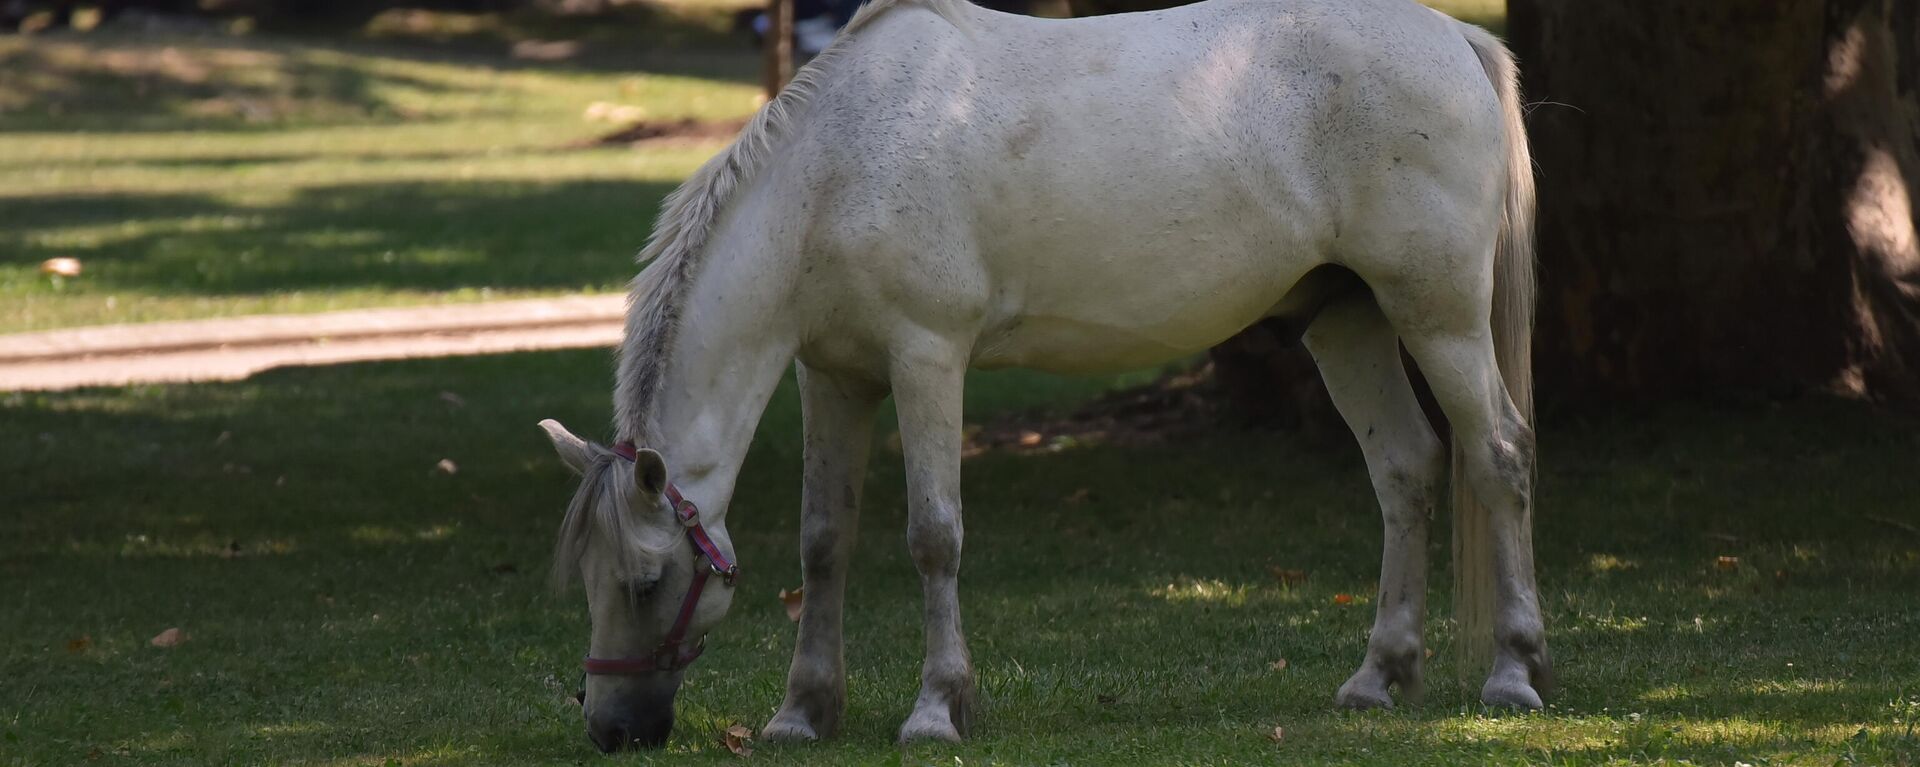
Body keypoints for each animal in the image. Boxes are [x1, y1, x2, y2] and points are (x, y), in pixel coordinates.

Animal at [537, 0, 1543, 749]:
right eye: (588, 579)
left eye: (646, 582)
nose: (611, 729)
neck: (832, 174)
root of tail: (1454, 36)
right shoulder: (833, 378)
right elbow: (824, 541)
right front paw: (802, 713)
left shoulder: (927, 356)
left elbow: (932, 535)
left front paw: (937, 709)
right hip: (1348, 318)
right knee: (1405, 469)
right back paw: (1380, 676)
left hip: (1439, 316)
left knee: (1497, 458)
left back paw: (1514, 672)